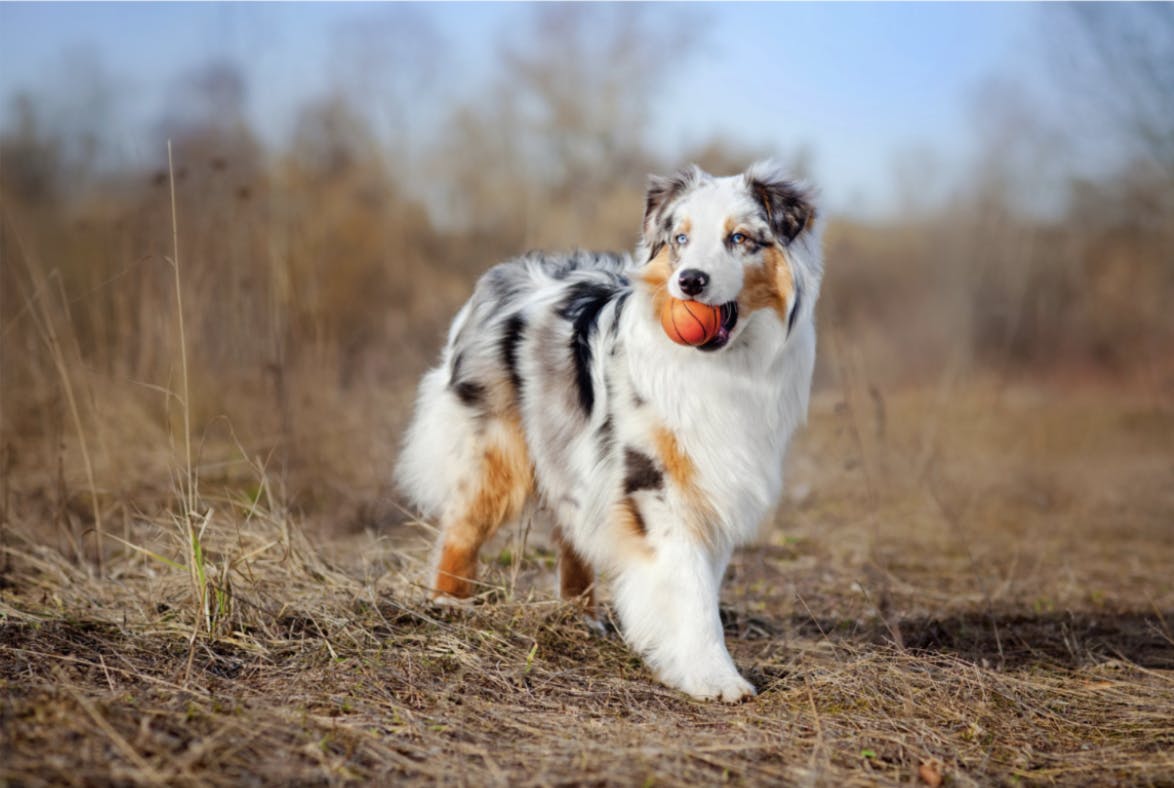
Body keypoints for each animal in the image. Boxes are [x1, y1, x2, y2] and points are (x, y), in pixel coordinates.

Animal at [399, 162, 821, 704]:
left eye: (740, 238)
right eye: (681, 239)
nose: (690, 281)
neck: (723, 366)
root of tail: (502, 274)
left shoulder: (713, 482)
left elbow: (701, 581)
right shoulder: (654, 483)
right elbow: (690, 588)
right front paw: (715, 677)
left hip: (571, 452)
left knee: (570, 530)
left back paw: (580, 617)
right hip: (498, 449)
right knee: (463, 526)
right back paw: (448, 604)